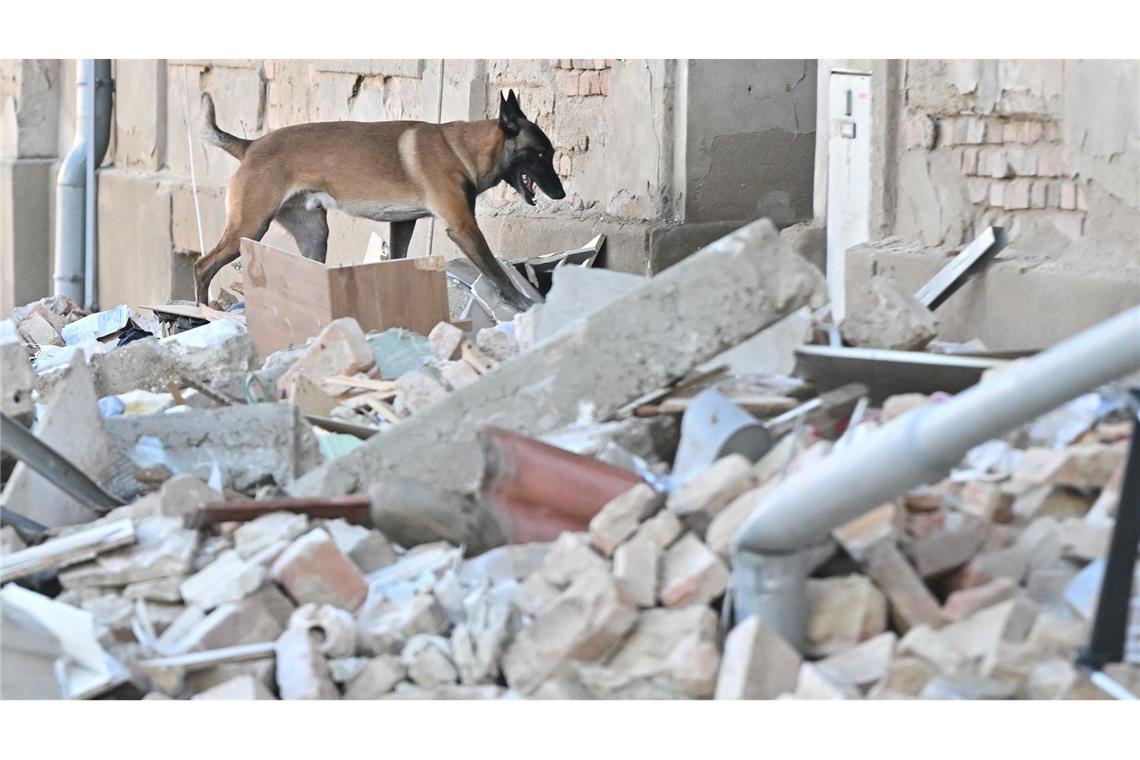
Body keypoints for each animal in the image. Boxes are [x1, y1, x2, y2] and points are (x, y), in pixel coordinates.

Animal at [200, 90, 570, 312]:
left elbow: (397, 259)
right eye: (540, 154)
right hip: (249, 227)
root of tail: (251, 145)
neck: (461, 148)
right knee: (202, 265)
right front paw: (523, 304)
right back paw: (200, 308)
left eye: (550, 154)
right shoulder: (464, 228)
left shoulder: (403, 224)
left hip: (314, 236)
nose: (561, 194)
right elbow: (496, 273)